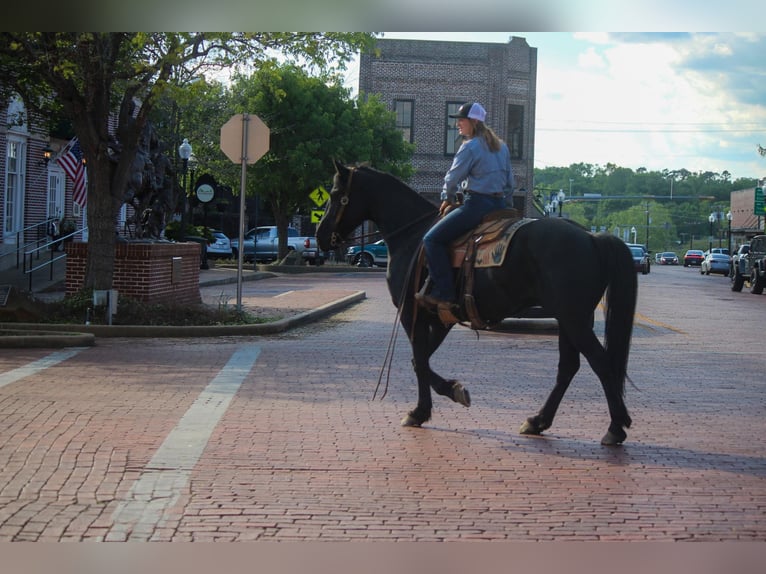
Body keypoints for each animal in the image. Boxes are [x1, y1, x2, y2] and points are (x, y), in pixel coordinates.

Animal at [318, 160, 640, 448]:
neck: (412, 236)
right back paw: (538, 421)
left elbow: (419, 361)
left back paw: (615, 427)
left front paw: (422, 410)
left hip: (573, 318)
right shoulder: (440, 317)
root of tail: (591, 236)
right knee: (568, 367)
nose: (321, 236)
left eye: (334, 194)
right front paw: (451, 391)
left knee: (600, 362)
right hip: (571, 318)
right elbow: (420, 359)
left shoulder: (412, 313)